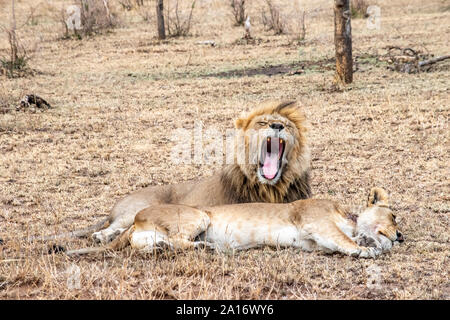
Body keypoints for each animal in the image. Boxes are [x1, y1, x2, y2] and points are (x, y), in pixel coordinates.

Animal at [37, 101, 310, 244]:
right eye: (262, 123)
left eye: (286, 126)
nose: (277, 125)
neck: (271, 186)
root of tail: (116, 206)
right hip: (135, 210)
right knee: (110, 228)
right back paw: (102, 236)